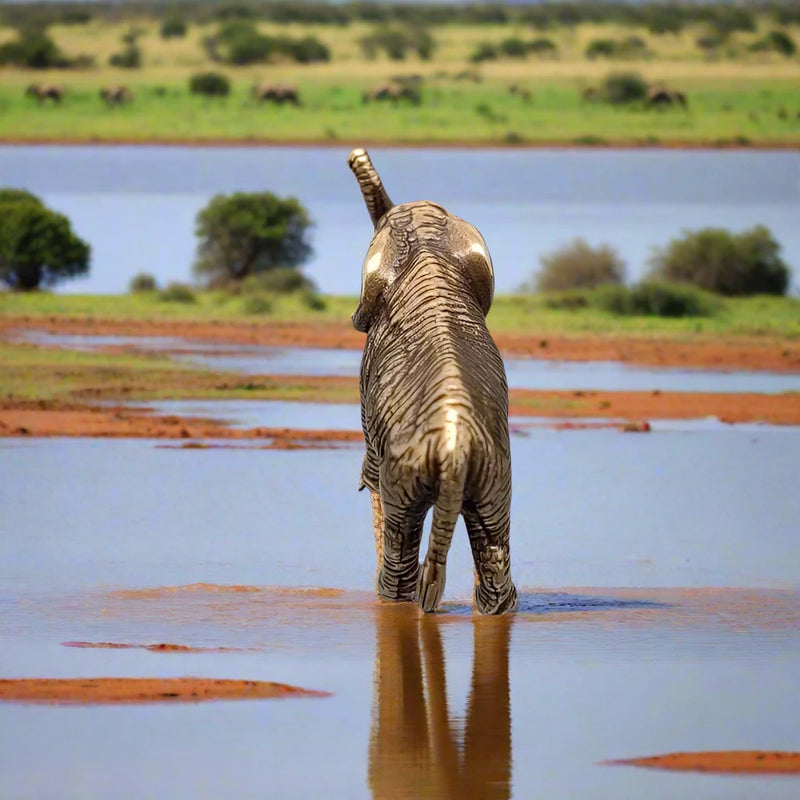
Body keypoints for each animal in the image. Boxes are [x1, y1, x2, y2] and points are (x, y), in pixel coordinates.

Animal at [350, 147, 520, 616]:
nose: (356, 154)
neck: (429, 254)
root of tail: (455, 449)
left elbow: (370, 474)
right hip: (493, 471)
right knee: (494, 552)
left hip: (407, 470)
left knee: (401, 546)